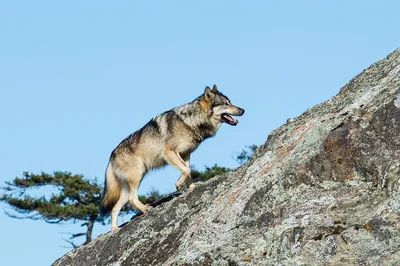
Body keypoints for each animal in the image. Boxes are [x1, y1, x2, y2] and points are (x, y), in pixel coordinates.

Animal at [99, 84, 244, 232]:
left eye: (230, 102)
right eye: (226, 104)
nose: (243, 110)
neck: (191, 121)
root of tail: (111, 156)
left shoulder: (186, 154)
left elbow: (188, 171)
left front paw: (192, 187)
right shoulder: (170, 153)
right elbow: (186, 170)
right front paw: (179, 184)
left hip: (130, 185)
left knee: (115, 208)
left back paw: (115, 229)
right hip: (137, 176)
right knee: (132, 199)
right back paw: (145, 209)